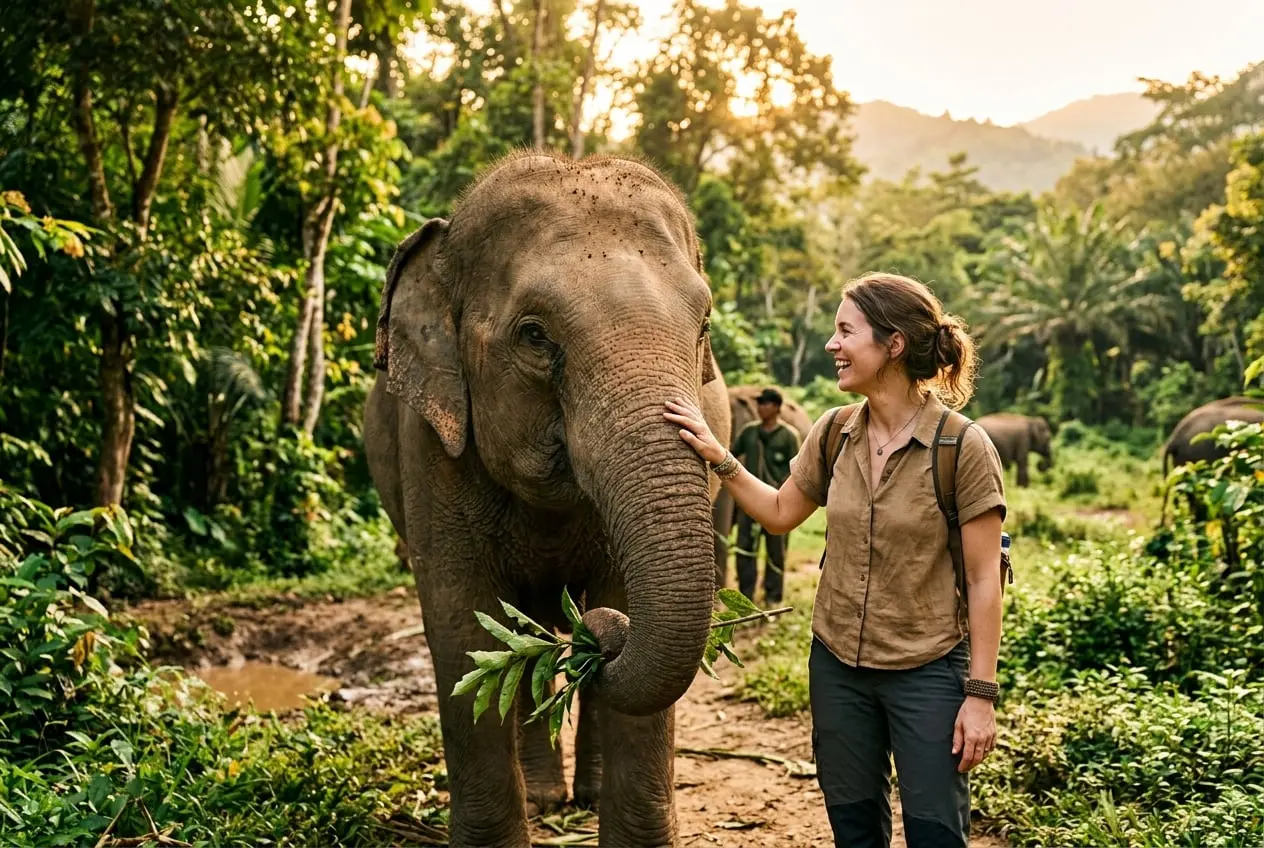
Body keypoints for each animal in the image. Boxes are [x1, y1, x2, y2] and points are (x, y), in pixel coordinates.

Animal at [364, 151, 732, 848]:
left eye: (702, 326)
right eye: (534, 335)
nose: (604, 641)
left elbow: (622, 597)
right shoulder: (430, 446)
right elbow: (460, 623)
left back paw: (581, 795)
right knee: (515, 634)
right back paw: (544, 795)